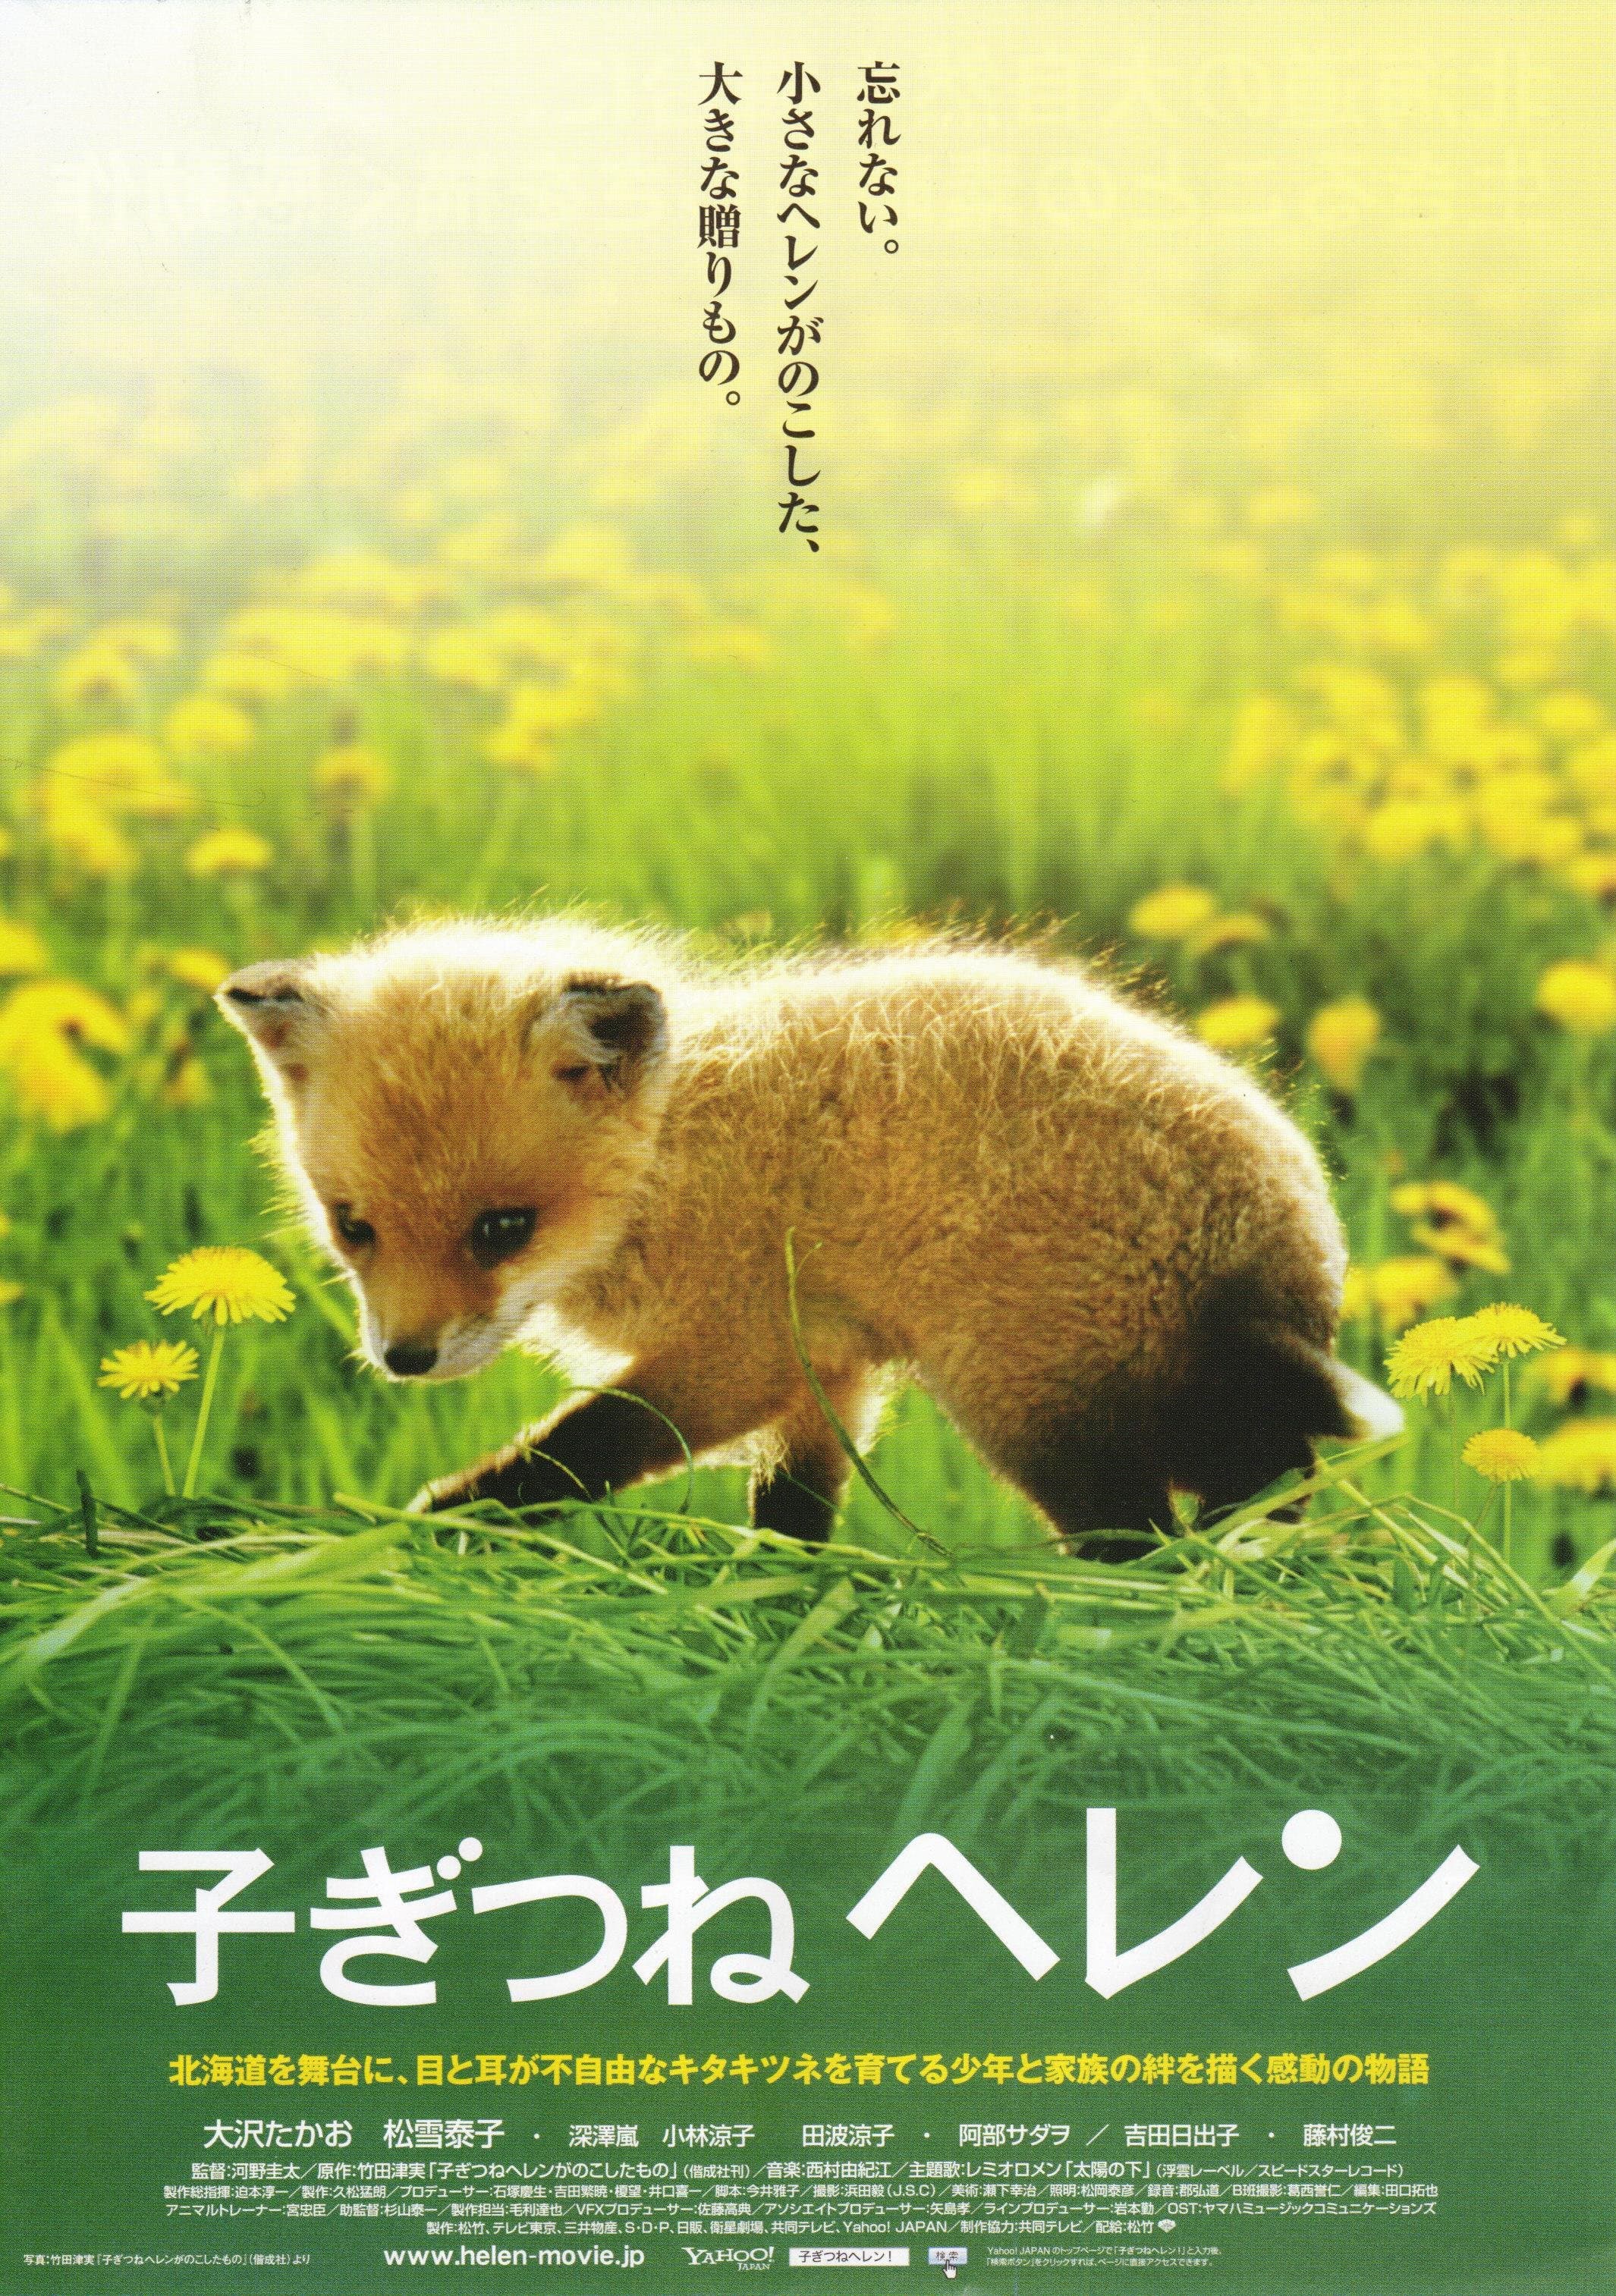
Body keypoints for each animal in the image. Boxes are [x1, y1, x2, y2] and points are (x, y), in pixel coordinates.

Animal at [217, 916, 1401, 1555]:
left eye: (500, 1229)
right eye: (354, 1227)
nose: (403, 1359)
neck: (672, 1157)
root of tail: (1286, 1230)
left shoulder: (737, 1351)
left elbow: (579, 1449)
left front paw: (437, 1516)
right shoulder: (827, 1369)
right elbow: (791, 1513)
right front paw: (775, 1601)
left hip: (1029, 1404)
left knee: (1144, 1539)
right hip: (1163, 1400)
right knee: (1274, 1471)